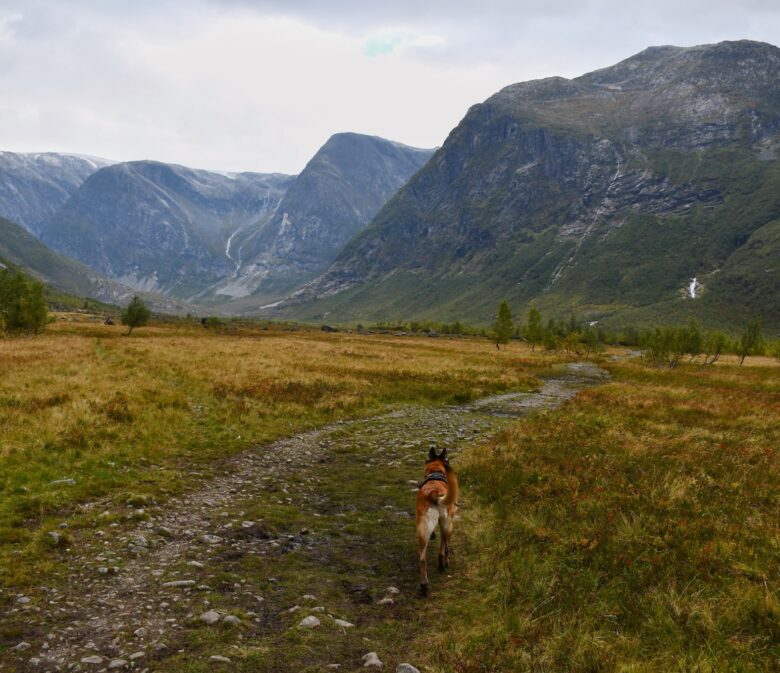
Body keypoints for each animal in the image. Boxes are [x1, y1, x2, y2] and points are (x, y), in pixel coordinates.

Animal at [416, 446, 458, 596]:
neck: (435, 473)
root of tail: (434, 493)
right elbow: (443, 546)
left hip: (422, 531)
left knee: (422, 560)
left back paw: (424, 585)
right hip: (448, 525)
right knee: (444, 549)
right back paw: (444, 564)